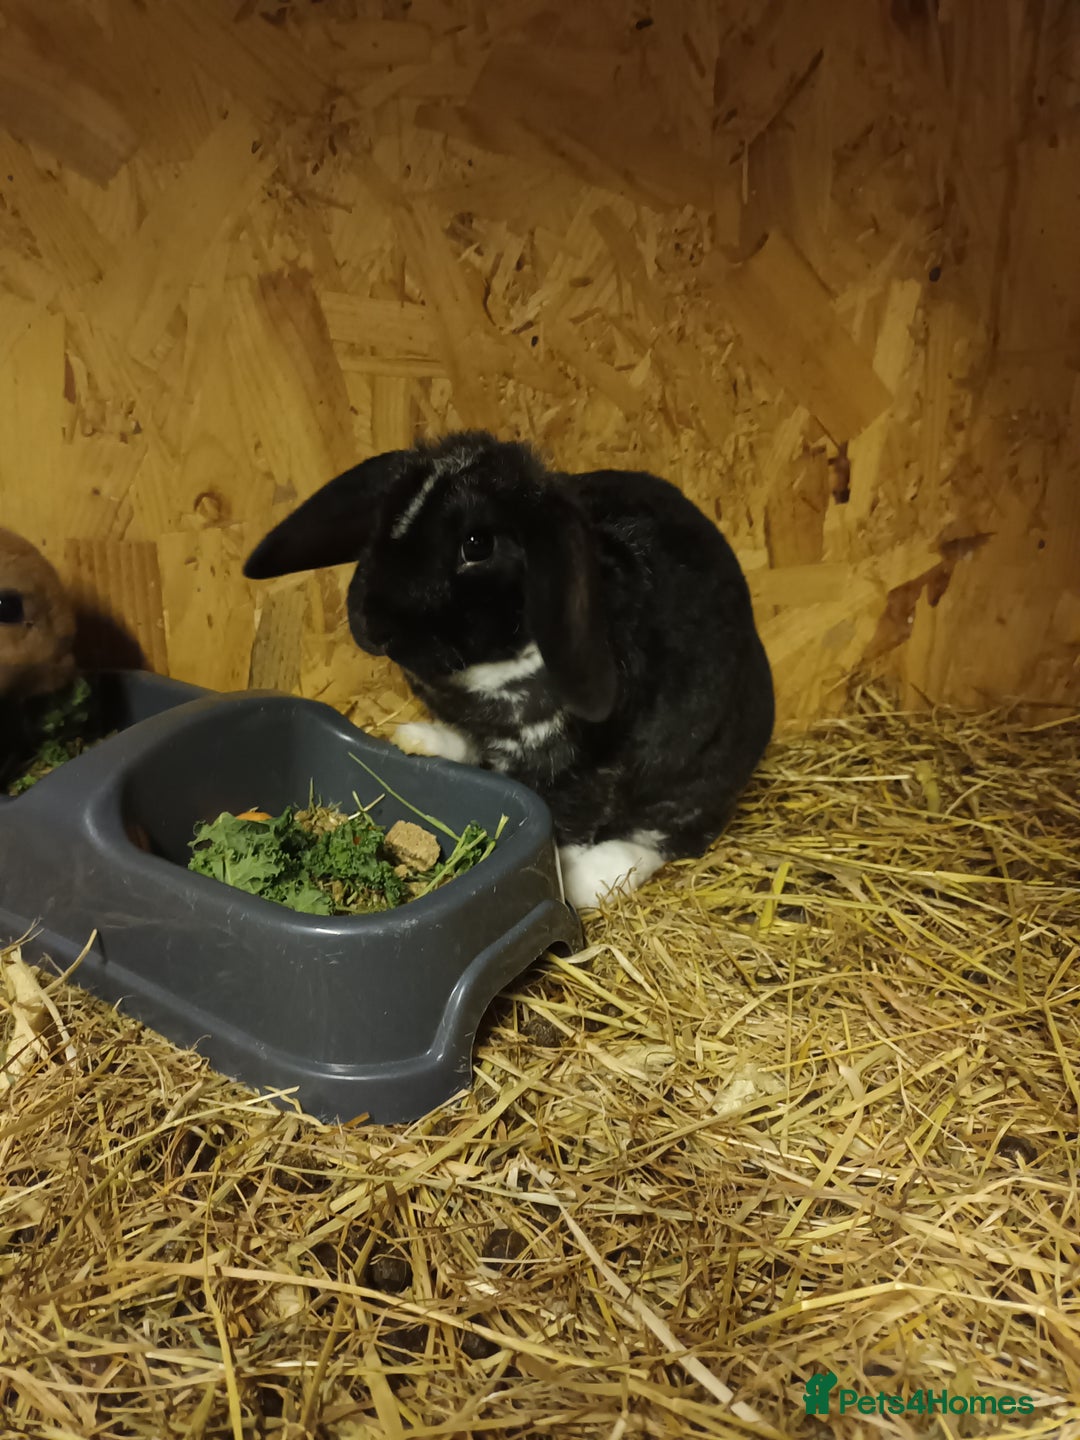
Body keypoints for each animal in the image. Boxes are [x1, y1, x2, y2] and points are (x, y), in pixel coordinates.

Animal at [243, 432, 774, 910]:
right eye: (384, 521)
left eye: (476, 544)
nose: (372, 624)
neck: (489, 673)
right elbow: (470, 742)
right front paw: (421, 739)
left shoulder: (585, 773)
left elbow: (565, 826)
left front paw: (560, 881)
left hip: (698, 778)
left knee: (669, 836)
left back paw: (597, 879)